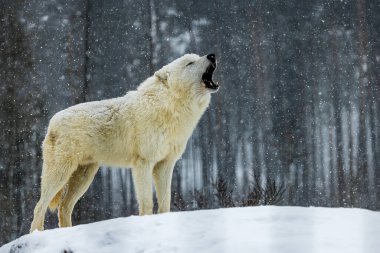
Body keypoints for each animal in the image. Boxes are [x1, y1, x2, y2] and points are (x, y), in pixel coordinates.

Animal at [29, 52, 218, 231]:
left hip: (84, 176)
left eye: (197, 57)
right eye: (190, 63)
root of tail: (51, 122)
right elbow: (147, 202)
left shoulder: (165, 164)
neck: (170, 108)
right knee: (39, 206)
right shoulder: (143, 163)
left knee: (64, 207)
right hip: (60, 174)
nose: (212, 55)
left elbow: (165, 202)